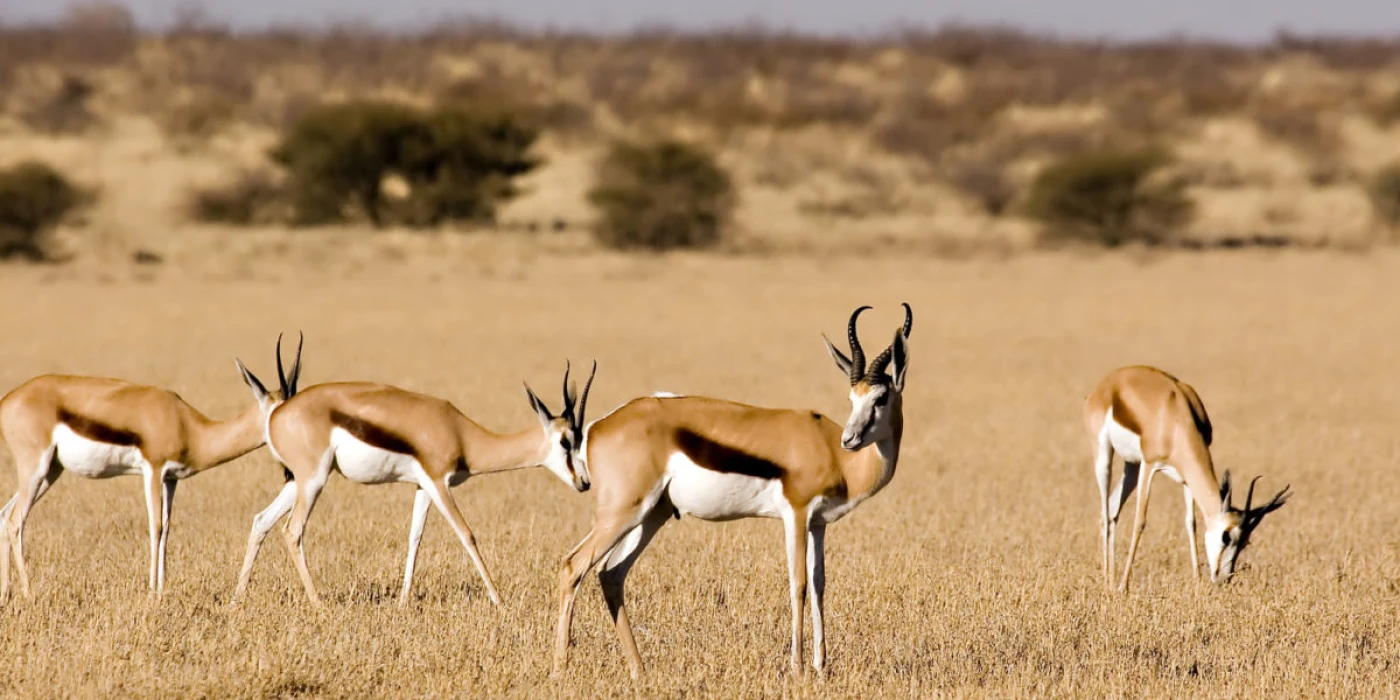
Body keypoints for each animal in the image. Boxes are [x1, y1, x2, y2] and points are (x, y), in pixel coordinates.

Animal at [1, 336, 298, 599]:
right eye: (279, 411)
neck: (188, 427)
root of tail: (8, 400)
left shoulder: (171, 479)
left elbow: (166, 528)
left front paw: (162, 590)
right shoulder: (153, 471)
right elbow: (154, 526)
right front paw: (152, 593)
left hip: (50, 472)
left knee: (5, 515)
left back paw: (6, 595)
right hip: (36, 468)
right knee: (16, 520)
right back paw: (29, 594)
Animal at [235, 364, 596, 604]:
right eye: (566, 441)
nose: (584, 482)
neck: (461, 434)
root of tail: (276, 415)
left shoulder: (422, 486)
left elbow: (415, 538)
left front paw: (403, 601)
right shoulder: (438, 482)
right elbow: (467, 534)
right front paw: (499, 600)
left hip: (299, 481)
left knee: (261, 521)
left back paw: (238, 599)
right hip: (313, 480)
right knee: (292, 530)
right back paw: (319, 604)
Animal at [551, 303, 912, 674]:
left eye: (880, 397)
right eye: (852, 397)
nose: (850, 439)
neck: (835, 457)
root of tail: (596, 428)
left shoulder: (818, 524)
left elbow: (818, 584)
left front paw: (820, 665)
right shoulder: (795, 515)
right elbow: (797, 584)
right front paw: (797, 668)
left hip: (652, 514)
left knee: (611, 574)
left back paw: (640, 670)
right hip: (624, 511)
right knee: (573, 566)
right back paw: (560, 669)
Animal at [1080, 366, 1288, 590]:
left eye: (1245, 541)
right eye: (1226, 537)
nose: (1224, 578)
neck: (1174, 419)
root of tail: (1106, 384)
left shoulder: (1185, 478)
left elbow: (1191, 522)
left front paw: (1197, 581)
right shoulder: (1149, 465)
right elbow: (1140, 522)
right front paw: (1123, 587)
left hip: (1132, 465)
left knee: (1112, 509)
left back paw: (1109, 578)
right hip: (1105, 455)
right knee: (1104, 510)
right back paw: (1108, 582)